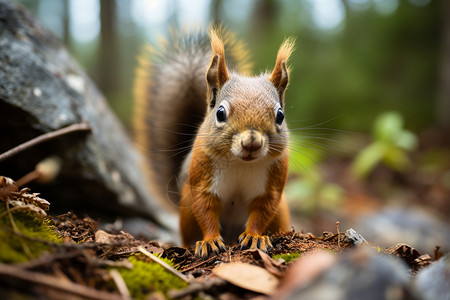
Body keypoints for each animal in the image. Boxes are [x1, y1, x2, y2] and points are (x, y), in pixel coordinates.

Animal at [133, 25, 296, 256]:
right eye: (220, 113)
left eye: (280, 115)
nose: (251, 143)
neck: (240, 163)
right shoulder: (202, 180)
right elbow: (206, 209)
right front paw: (209, 241)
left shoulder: (273, 184)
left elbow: (263, 210)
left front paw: (254, 237)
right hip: (186, 205)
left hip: (282, 210)